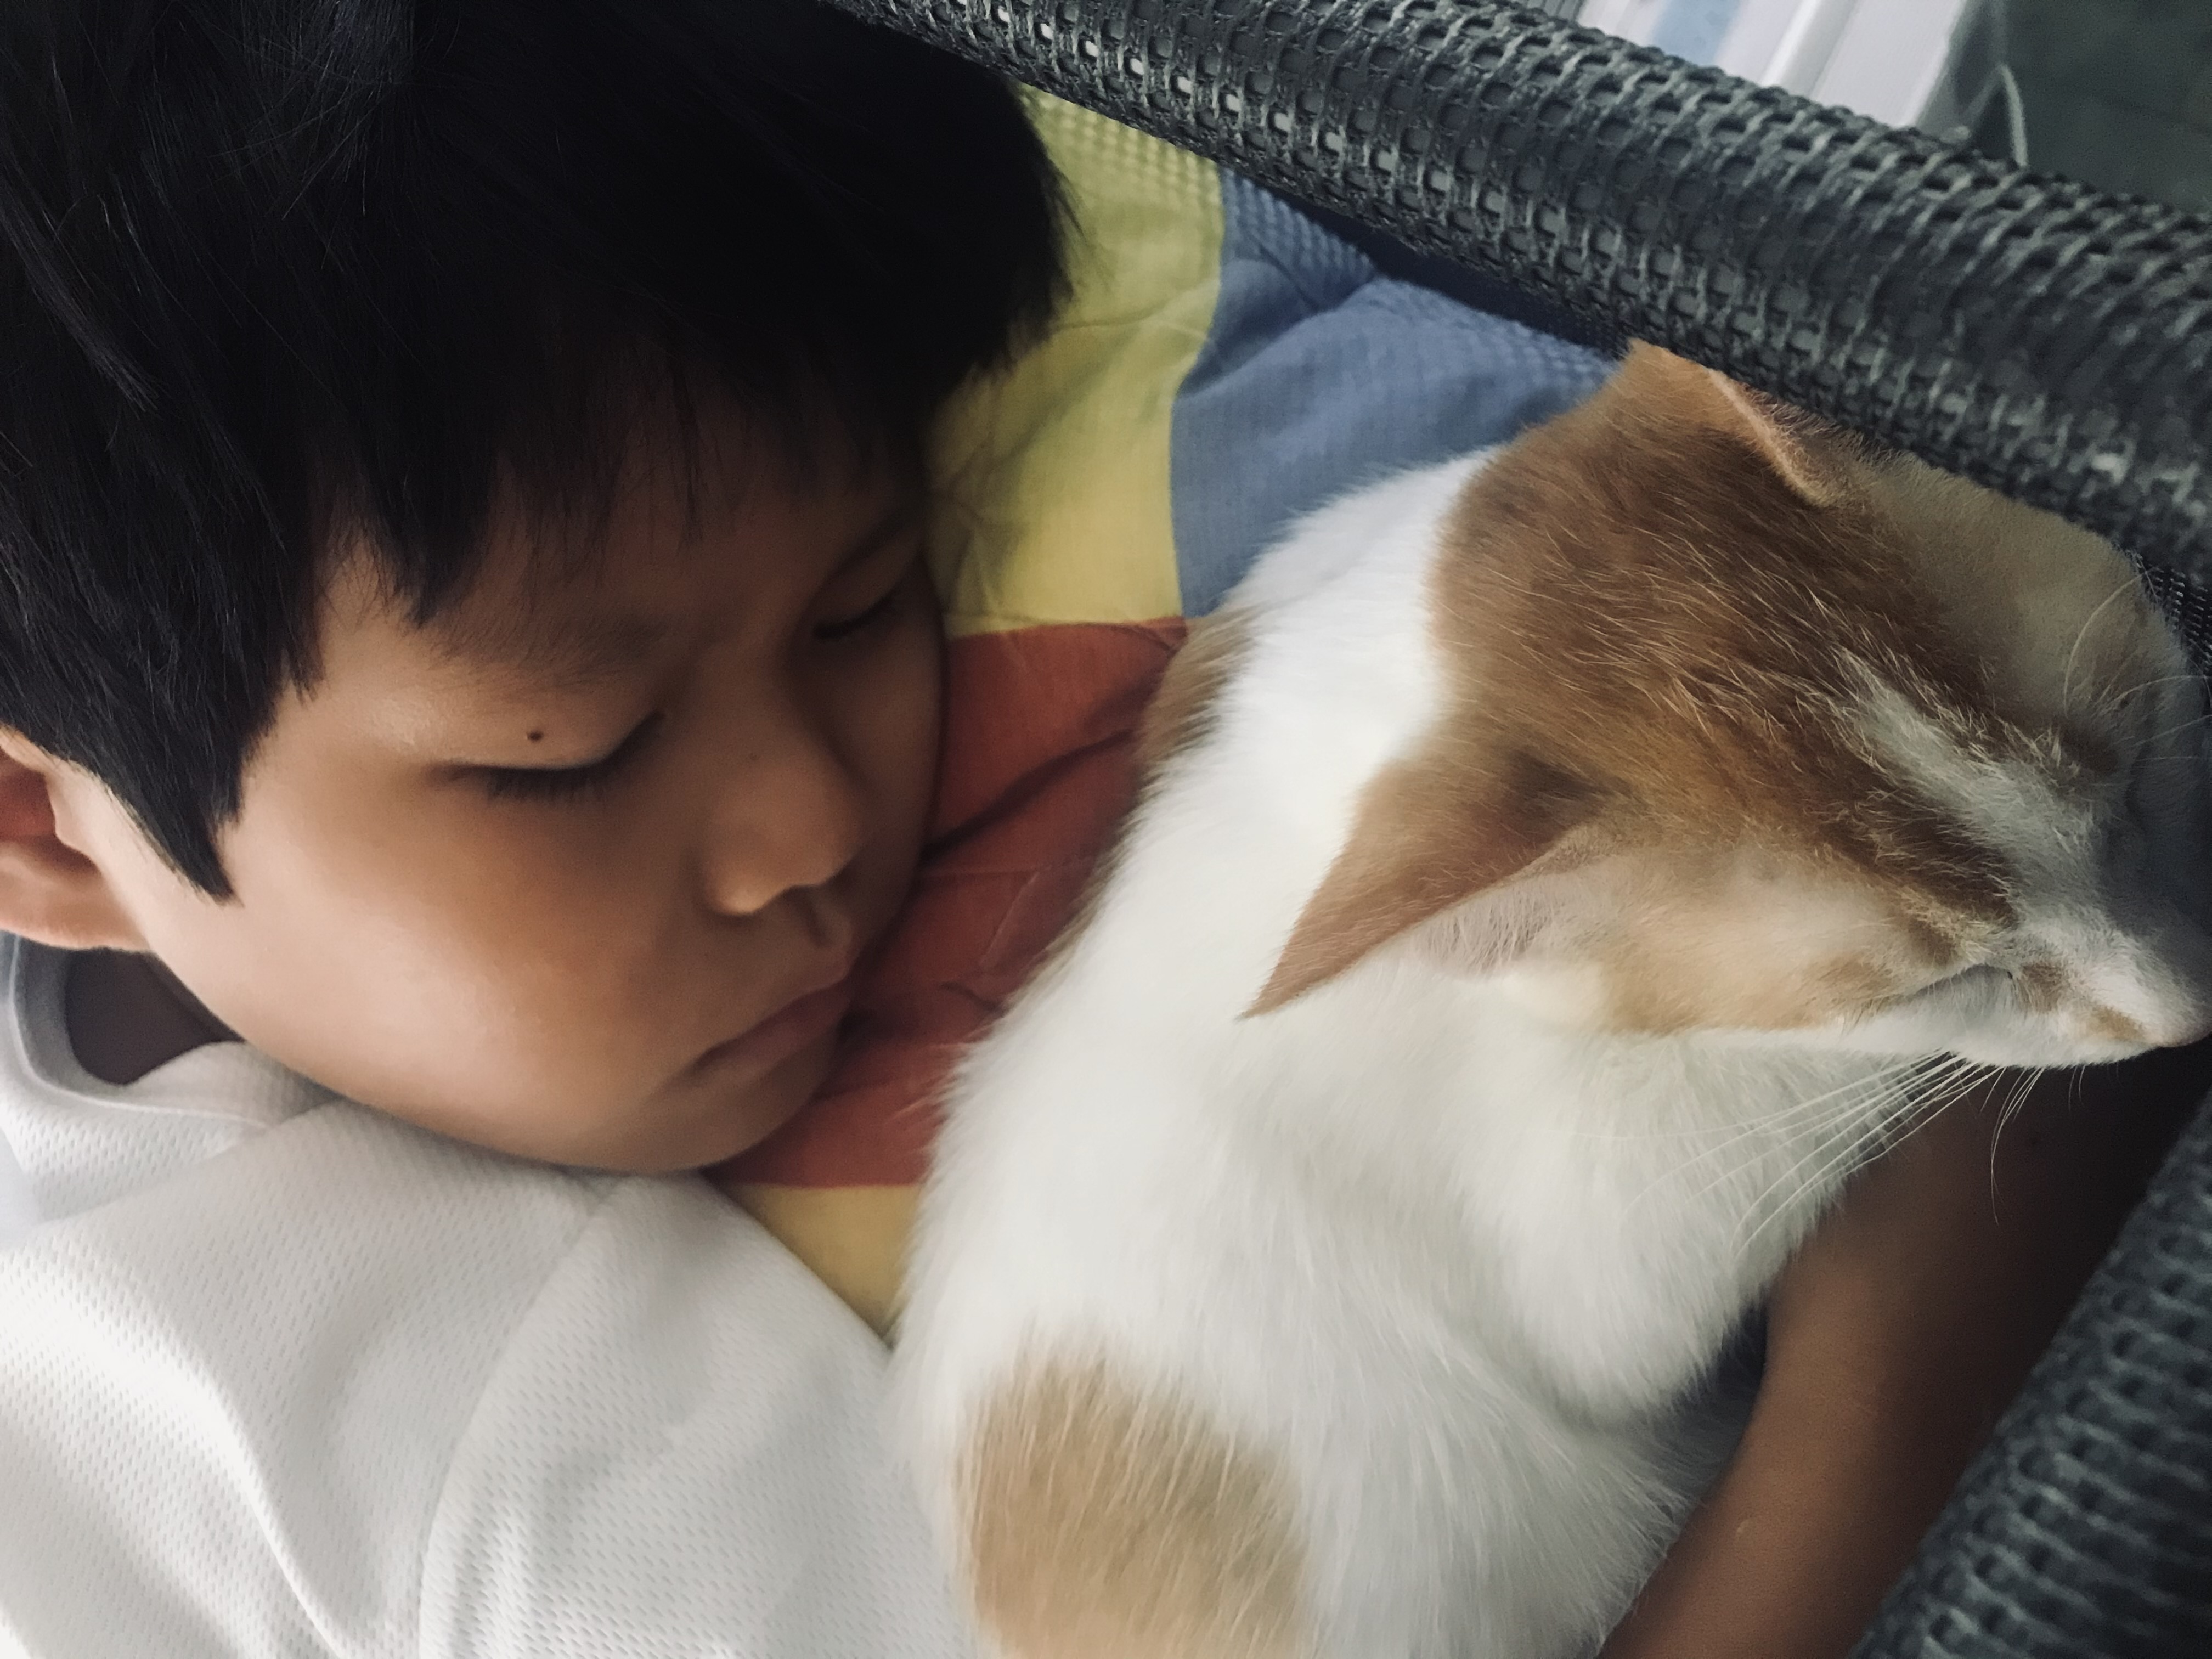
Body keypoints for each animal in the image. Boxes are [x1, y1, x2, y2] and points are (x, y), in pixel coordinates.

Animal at [884, 347, 2212, 1659]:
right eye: (1948, 978)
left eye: (2132, 773)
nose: (2184, 1014)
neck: (1363, 707)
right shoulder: (1592, 1242)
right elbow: (1658, 1272)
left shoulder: (1271, 595)